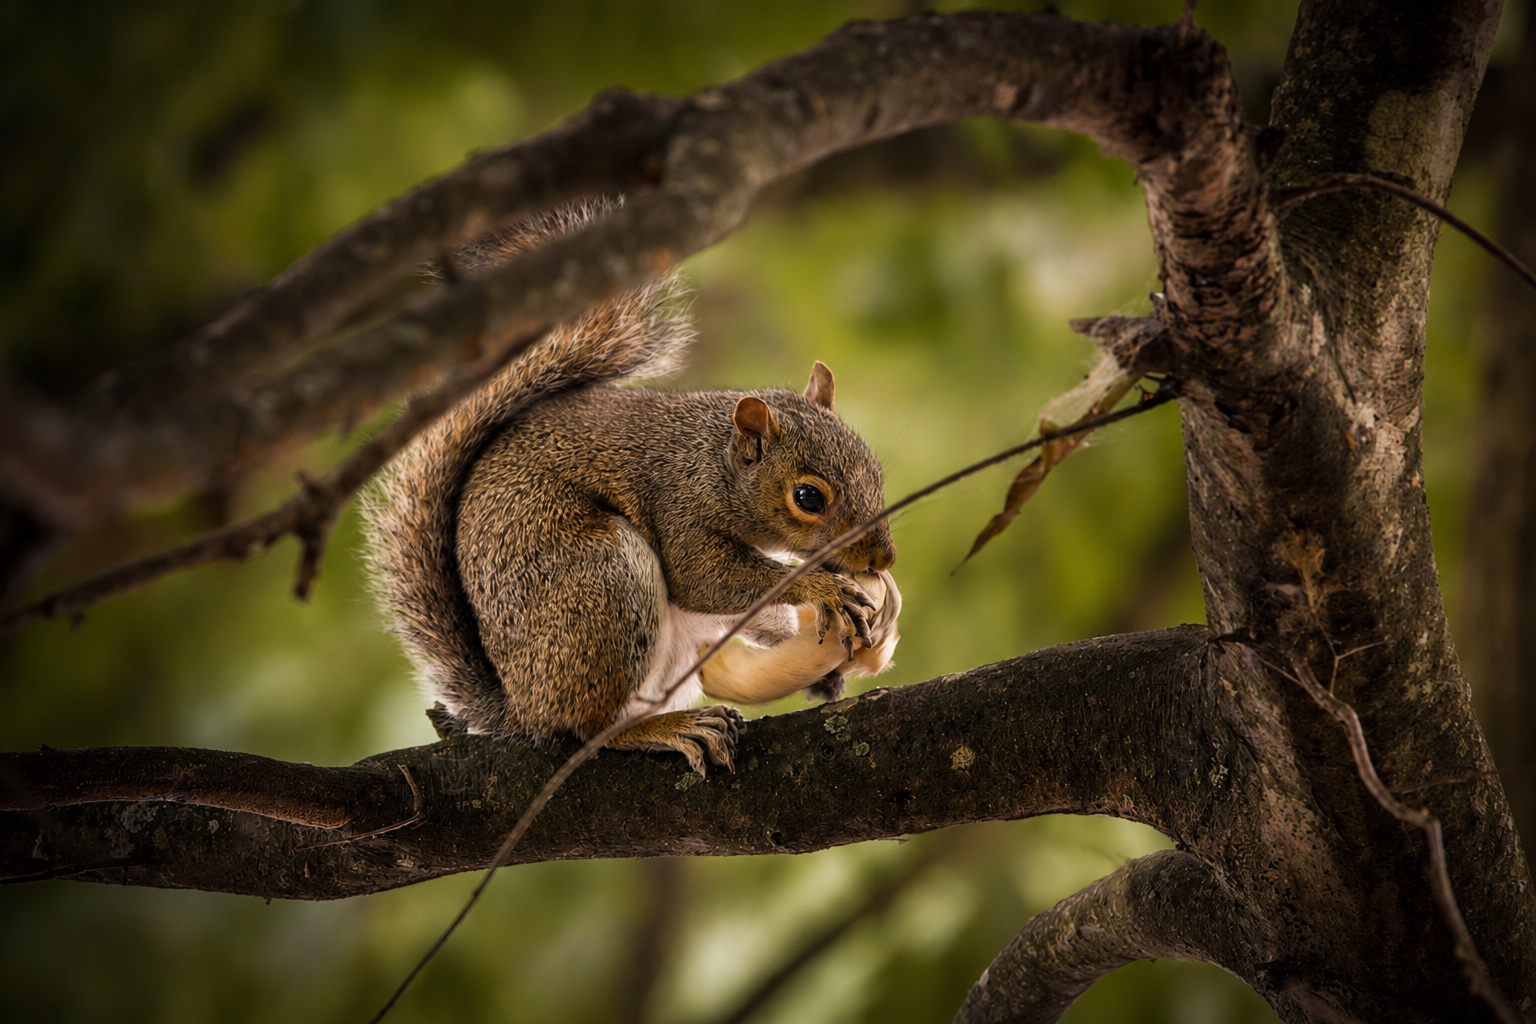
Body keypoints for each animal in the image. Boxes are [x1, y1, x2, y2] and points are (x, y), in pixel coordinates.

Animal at [364, 201, 898, 776]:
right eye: (808, 498)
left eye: (875, 470)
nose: (882, 559)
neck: (712, 463)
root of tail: (523, 709)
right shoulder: (679, 504)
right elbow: (702, 578)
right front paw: (821, 588)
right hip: (603, 584)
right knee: (588, 729)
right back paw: (663, 729)